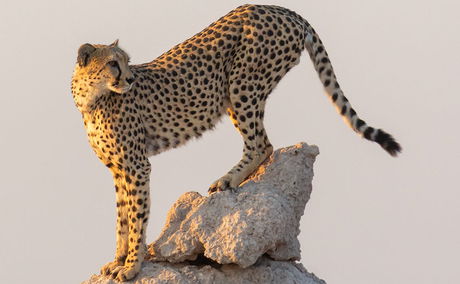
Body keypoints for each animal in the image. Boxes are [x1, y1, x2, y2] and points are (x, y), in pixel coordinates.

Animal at [71, 4, 398, 282]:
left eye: (126, 62)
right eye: (113, 63)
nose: (129, 79)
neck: (91, 98)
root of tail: (281, 9)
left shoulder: (137, 166)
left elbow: (137, 217)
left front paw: (132, 266)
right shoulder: (119, 169)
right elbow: (122, 218)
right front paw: (118, 260)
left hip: (241, 83)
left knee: (262, 144)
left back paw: (228, 180)